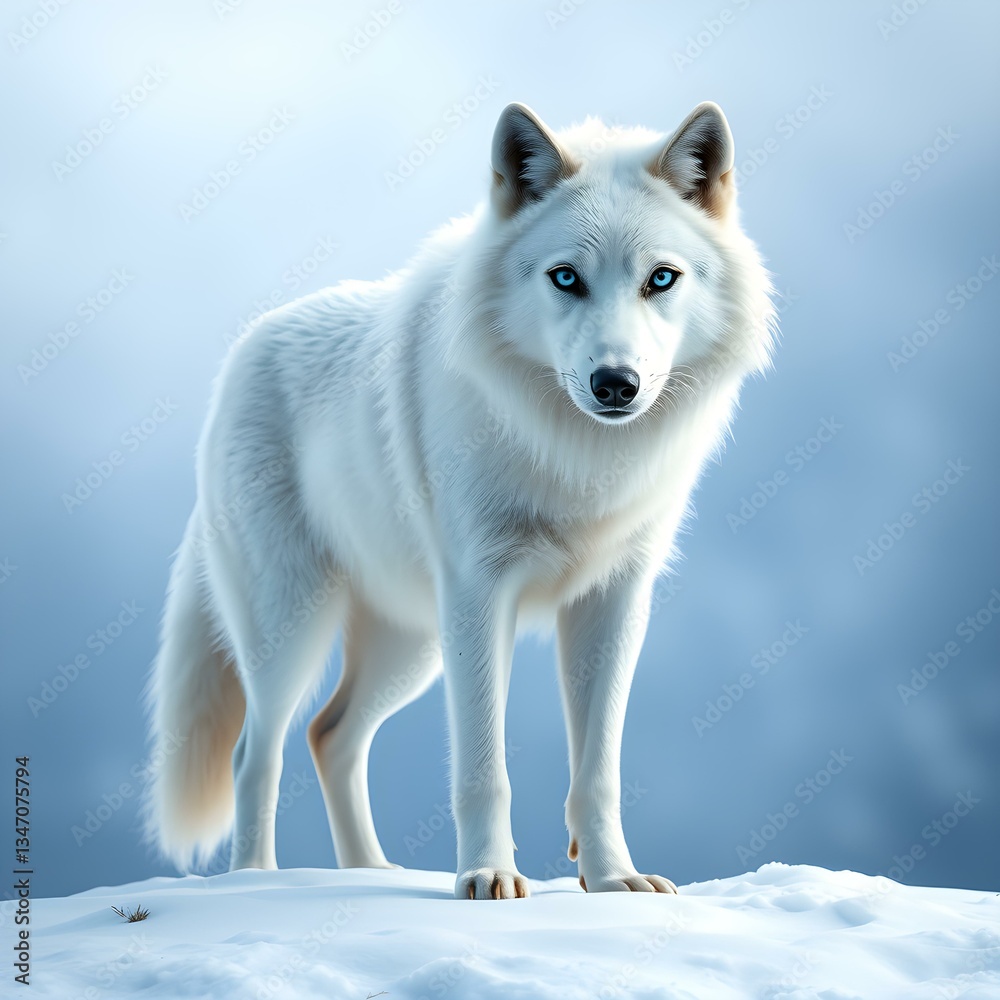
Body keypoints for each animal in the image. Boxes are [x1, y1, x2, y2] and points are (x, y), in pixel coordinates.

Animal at [145, 101, 775, 899]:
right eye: (565, 277)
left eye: (661, 279)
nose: (615, 384)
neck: (574, 462)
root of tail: (240, 353)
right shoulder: (479, 592)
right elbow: (483, 767)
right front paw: (488, 877)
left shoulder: (615, 598)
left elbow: (597, 769)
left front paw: (612, 880)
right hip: (295, 629)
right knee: (257, 752)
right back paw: (255, 882)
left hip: (410, 645)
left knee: (331, 734)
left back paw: (369, 872)